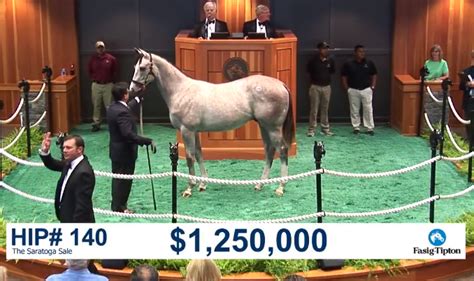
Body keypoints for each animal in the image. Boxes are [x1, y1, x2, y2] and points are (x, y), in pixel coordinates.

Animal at [129, 48, 292, 196]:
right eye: (135, 67)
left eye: (142, 68)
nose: (132, 90)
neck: (181, 91)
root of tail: (281, 84)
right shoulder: (194, 131)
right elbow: (199, 154)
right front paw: (202, 184)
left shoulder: (187, 130)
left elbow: (190, 157)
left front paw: (190, 188)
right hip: (264, 126)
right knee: (269, 151)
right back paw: (260, 184)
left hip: (273, 128)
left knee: (282, 150)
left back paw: (281, 187)